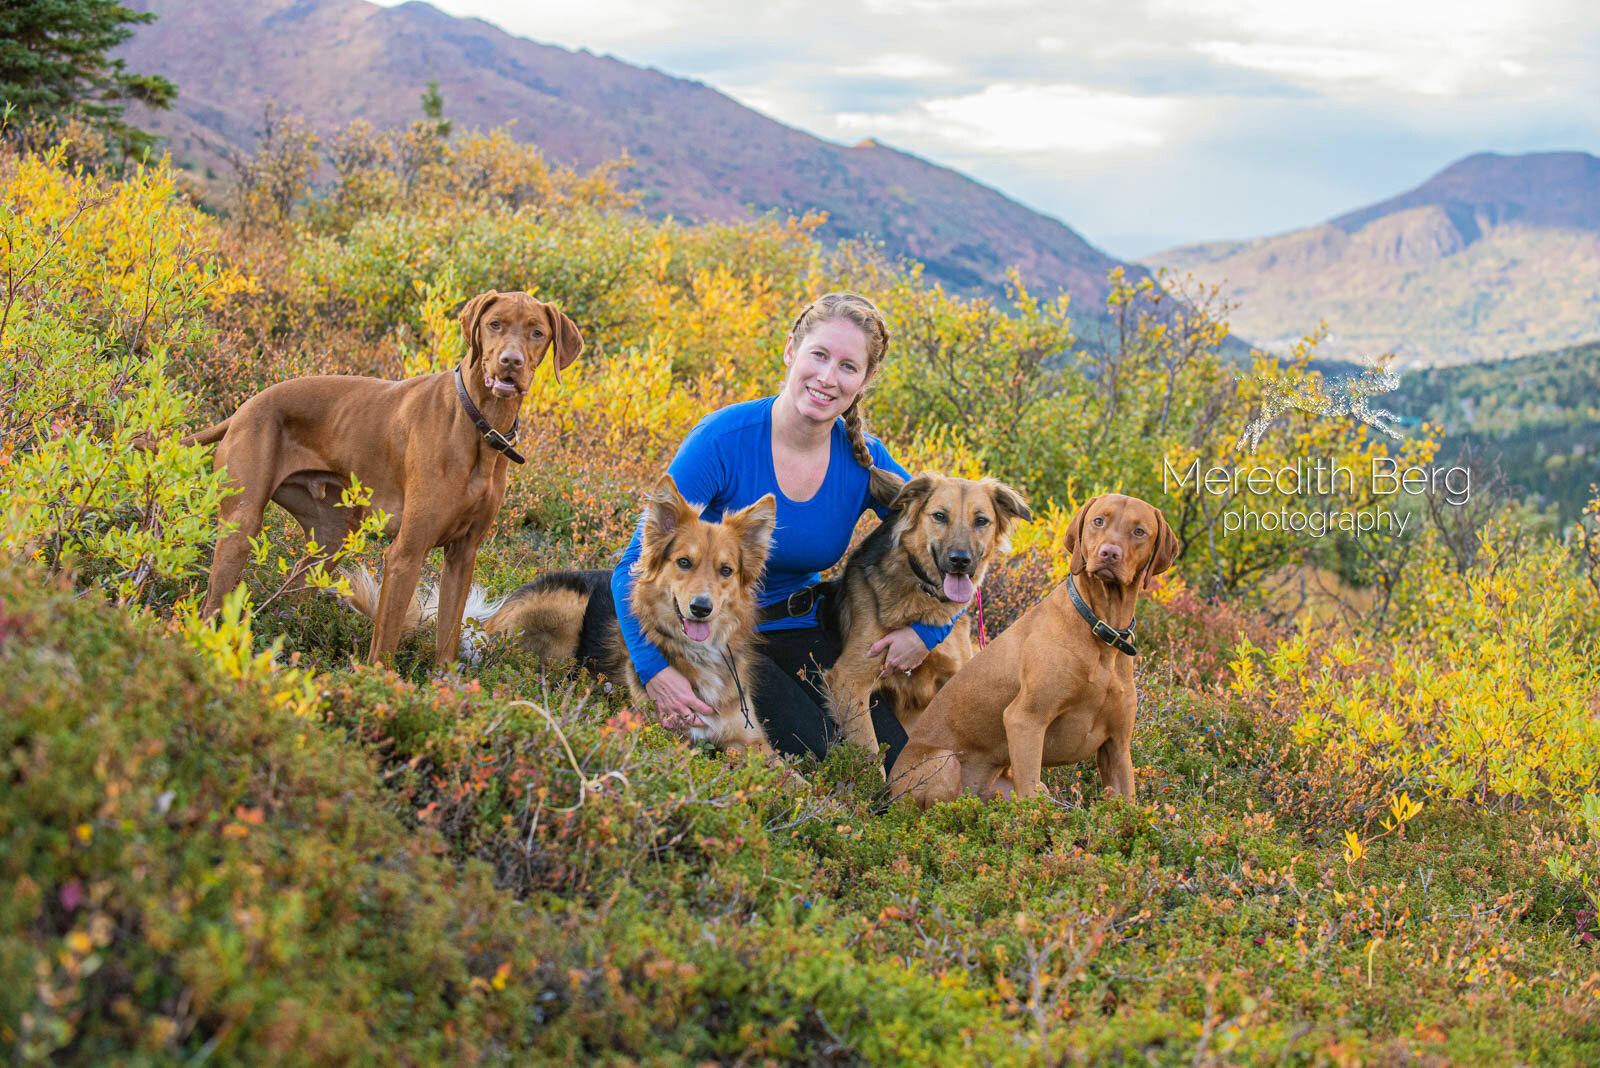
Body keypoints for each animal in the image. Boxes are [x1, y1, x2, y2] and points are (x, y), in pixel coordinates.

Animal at [187, 287, 585, 661]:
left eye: (536, 332)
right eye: (495, 324)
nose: (510, 362)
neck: (478, 425)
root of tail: (243, 409)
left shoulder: (463, 556)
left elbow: (447, 641)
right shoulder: (405, 554)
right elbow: (385, 645)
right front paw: (381, 683)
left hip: (330, 541)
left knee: (291, 602)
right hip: (241, 527)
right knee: (209, 608)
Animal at [483, 476, 777, 751]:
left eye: (726, 570)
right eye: (684, 562)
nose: (701, 608)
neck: (697, 652)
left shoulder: (751, 739)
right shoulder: (663, 732)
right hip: (567, 606)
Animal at [819, 470, 1030, 757]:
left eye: (981, 520)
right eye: (940, 516)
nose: (960, 560)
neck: (924, 598)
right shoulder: (849, 680)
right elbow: (872, 755)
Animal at [889, 495, 1177, 805]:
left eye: (1139, 531)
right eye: (1098, 521)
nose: (1109, 553)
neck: (1100, 630)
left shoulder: (1118, 746)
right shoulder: (1025, 720)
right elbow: (1031, 805)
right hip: (944, 763)